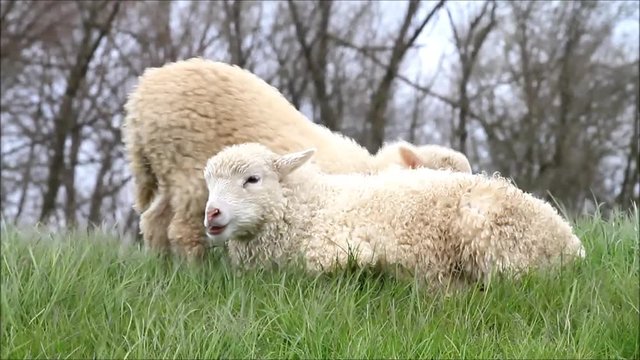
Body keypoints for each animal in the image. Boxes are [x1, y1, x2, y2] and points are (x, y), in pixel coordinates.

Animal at [122, 57, 470, 260]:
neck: (372, 169)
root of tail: (141, 95)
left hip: (170, 170)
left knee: (153, 221)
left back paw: (161, 268)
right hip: (188, 170)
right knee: (182, 230)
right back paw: (193, 270)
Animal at [202, 142, 588, 288]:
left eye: (252, 179)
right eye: (208, 182)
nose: (211, 213)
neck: (309, 208)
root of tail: (571, 245)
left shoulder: (339, 247)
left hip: (491, 239)